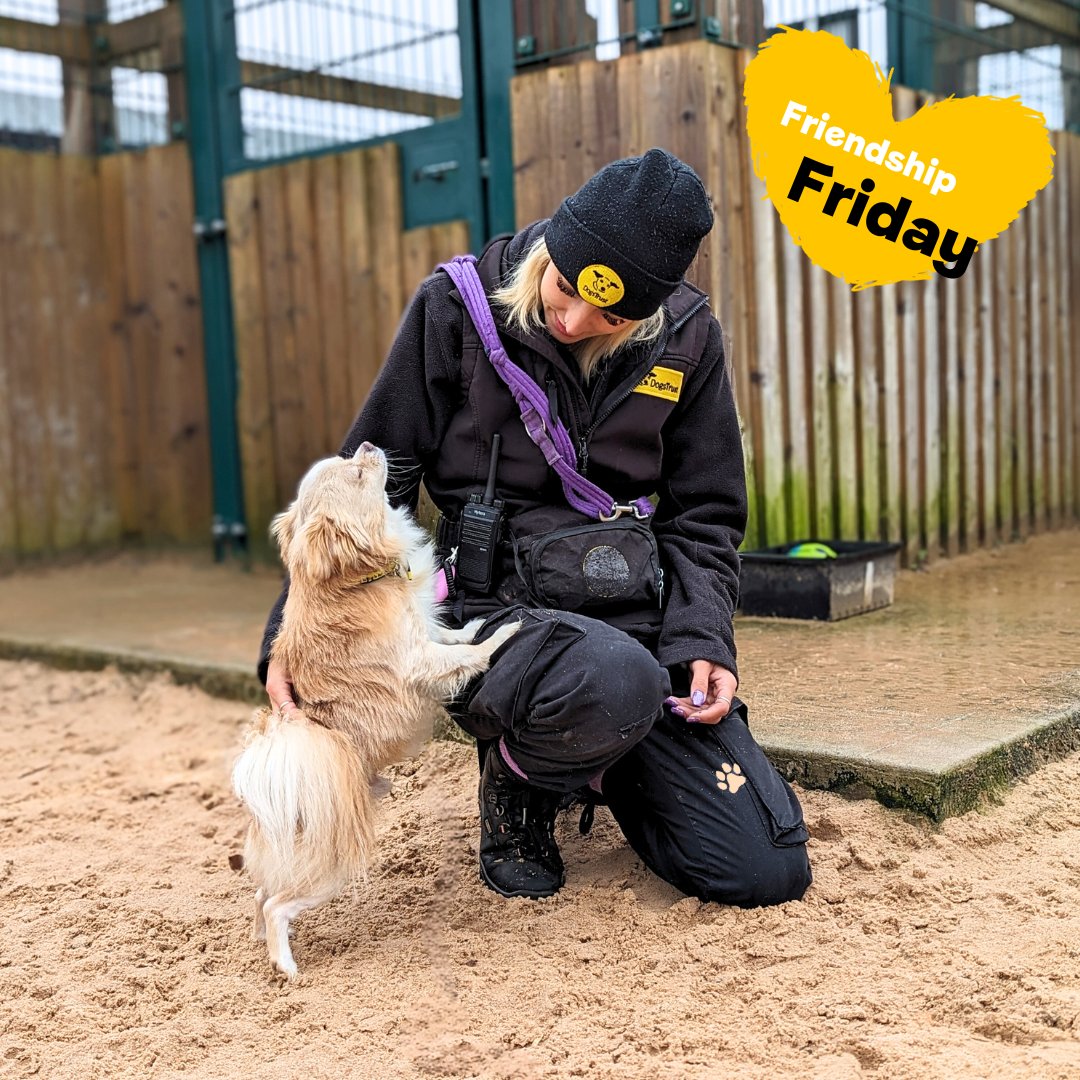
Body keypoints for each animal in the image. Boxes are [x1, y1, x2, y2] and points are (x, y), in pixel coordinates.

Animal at [234, 440, 520, 980]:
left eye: (350, 460)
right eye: (357, 473)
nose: (366, 445)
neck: (358, 578)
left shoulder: (425, 636)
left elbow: (449, 635)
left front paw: (473, 626)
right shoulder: (418, 661)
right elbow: (468, 656)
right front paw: (503, 636)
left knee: (261, 893)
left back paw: (264, 949)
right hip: (328, 871)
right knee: (275, 904)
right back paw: (287, 967)